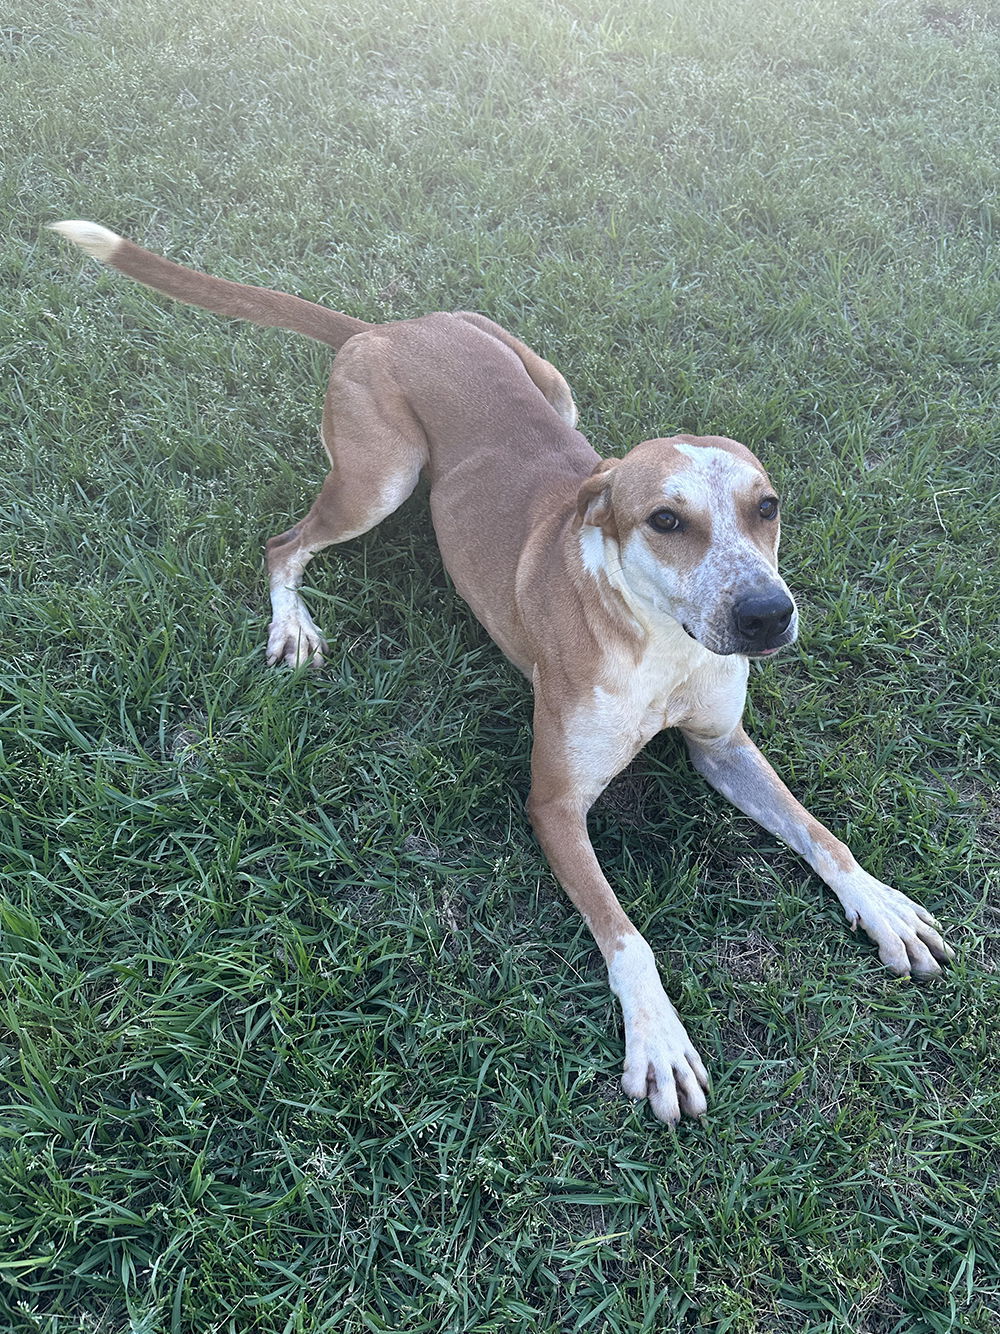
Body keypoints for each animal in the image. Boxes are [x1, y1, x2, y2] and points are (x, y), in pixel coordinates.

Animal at [49, 221, 954, 1125]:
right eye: (666, 521)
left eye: (766, 508)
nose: (769, 613)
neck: (663, 643)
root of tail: (388, 328)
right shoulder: (553, 804)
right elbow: (628, 937)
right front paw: (658, 1039)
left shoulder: (722, 745)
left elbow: (820, 834)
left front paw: (881, 904)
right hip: (380, 476)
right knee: (284, 544)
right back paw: (292, 623)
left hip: (550, 384)